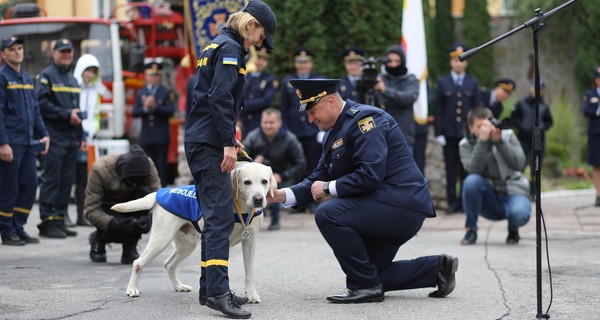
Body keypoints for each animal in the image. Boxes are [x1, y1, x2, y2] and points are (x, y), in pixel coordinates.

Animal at [110, 162, 276, 302]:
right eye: (247, 182)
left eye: (264, 181)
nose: (258, 199)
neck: (241, 208)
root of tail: (160, 192)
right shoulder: (221, 241)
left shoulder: (250, 241)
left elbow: (249, 272)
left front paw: (251, 294)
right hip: (161, 239)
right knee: (138, 262)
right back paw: (132, 289)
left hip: (187, 245)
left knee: (168, 264)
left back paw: (179, 286)